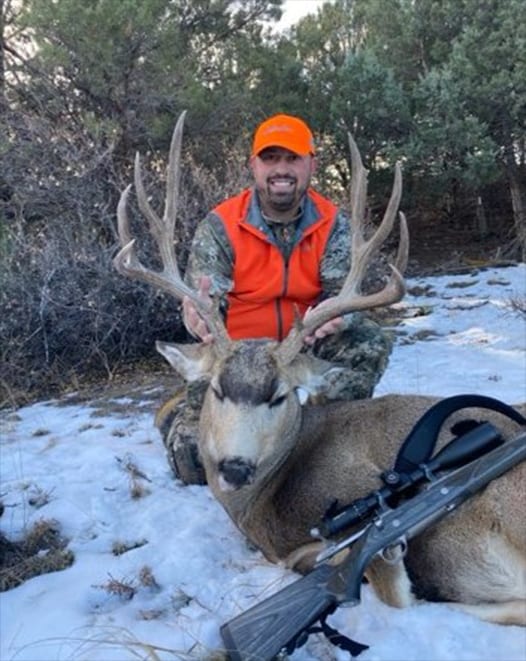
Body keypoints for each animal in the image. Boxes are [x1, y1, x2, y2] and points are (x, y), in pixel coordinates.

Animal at [114, 112, 526, 627]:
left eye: (279, 395)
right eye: (217, 389)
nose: (234, 468)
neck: (263, 499)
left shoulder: (356, 496)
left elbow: (386, 588)